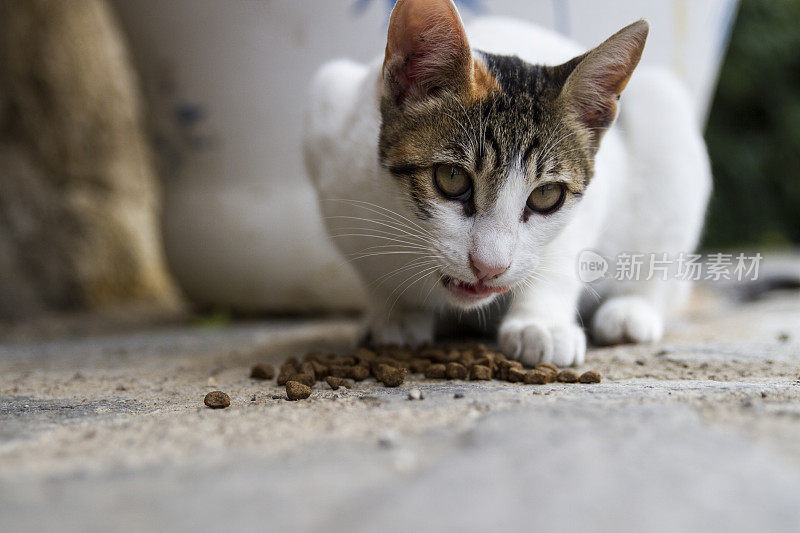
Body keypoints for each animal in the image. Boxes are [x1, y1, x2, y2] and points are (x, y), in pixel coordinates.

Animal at [304, 0, 708, 366]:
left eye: (546, 195)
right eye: (451, 178)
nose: (489, 268)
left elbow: (565, 252)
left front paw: (541, 322)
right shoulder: (331, 127)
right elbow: (370, 271)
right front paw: (397, 312)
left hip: (664, 113)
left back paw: (631, 310)